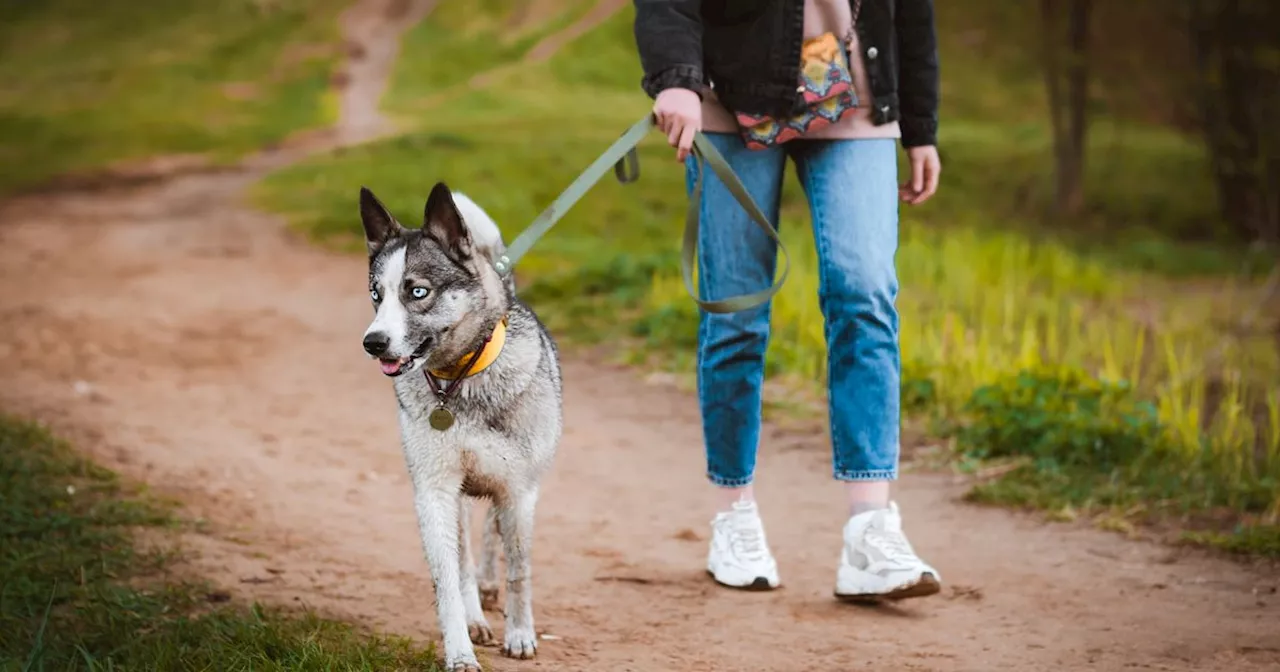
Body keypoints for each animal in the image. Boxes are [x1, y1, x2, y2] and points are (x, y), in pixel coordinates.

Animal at [358, 183, 563, 670]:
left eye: (418, 291)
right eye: (376, 294)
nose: (373, 343)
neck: (460, 382)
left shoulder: (520, 490)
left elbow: (519, 571)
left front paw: (520, 634)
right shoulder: (434, 489)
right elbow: (448, 578)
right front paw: (460, 647)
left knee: (492, 534)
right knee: (467, 550)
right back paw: (476, 613)